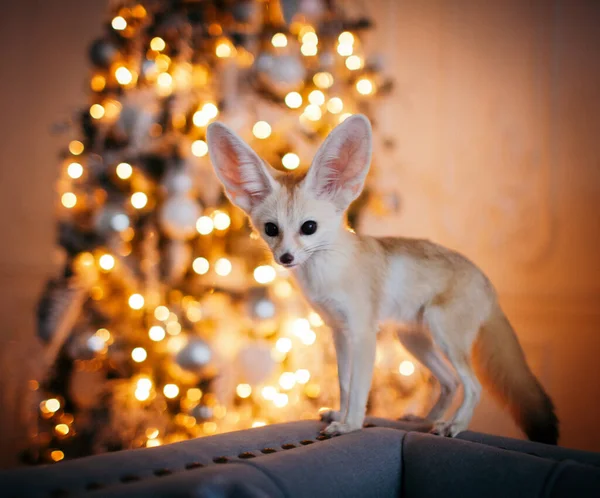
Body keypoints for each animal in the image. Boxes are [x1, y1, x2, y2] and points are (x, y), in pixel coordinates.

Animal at [206, 114, 556, 444]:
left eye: (309, 227)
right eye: (271, 229)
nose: (286, 258)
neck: (328, 273)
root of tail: (488, 282)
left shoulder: (362, 332)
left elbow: (359, 387)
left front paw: (349, 425)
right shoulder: (339, 332)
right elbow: (345, 384)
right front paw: (341, 415)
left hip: (443, 334)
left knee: (473, 386)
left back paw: (453, 425)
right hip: (414, 339)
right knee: (451, 381)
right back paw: (424, 420)